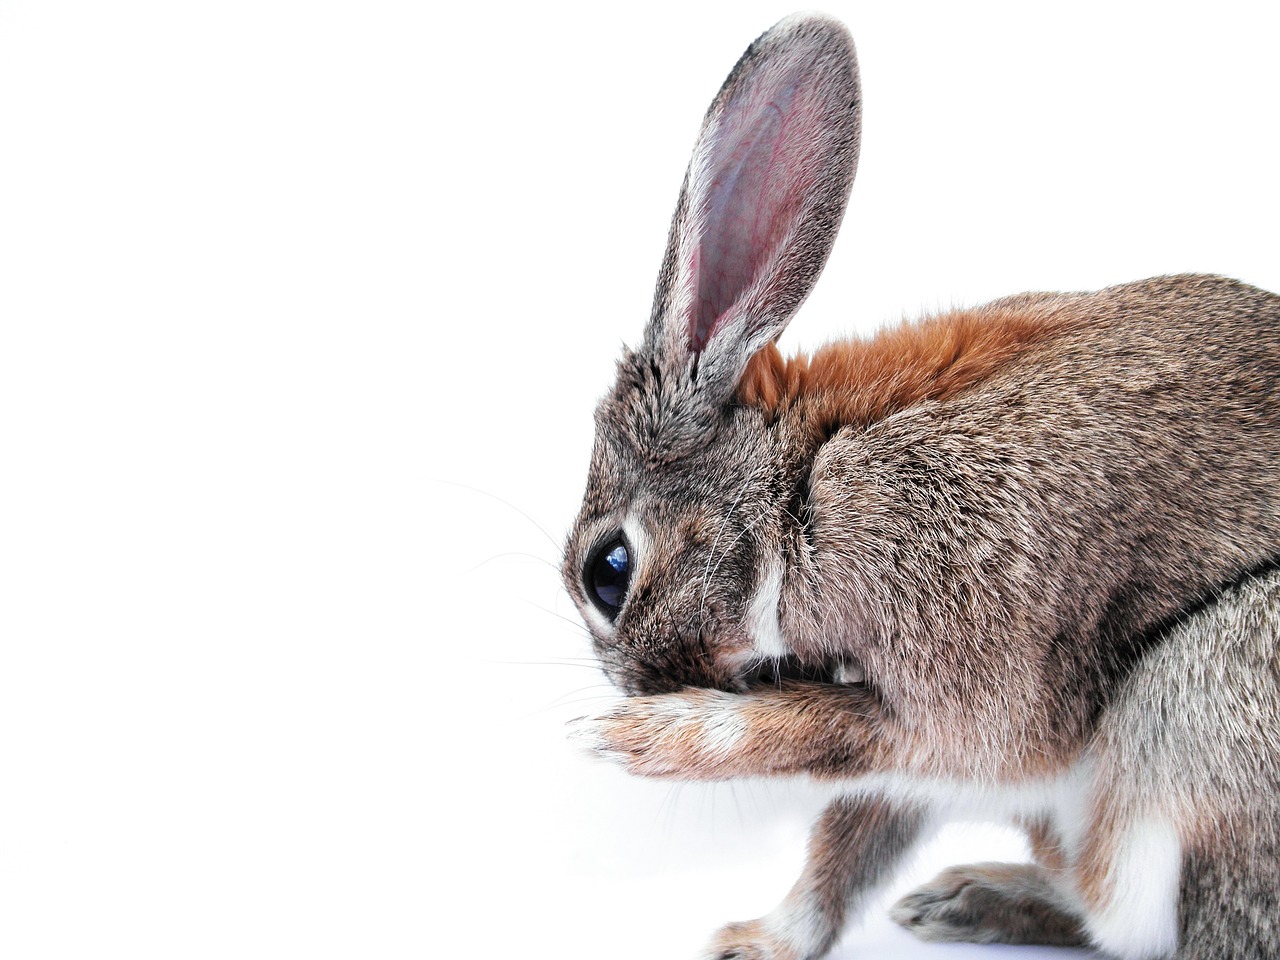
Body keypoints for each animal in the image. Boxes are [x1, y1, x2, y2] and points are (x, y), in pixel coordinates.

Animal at [563, 13, 1280, 960]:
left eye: (608, 571)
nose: (634, 688)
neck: (798, 490)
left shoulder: (958, 698)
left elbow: (832, 741)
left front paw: (641, 740)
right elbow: (848, 838)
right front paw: (757, 943)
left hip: (1200, 696)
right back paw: (963, 899)